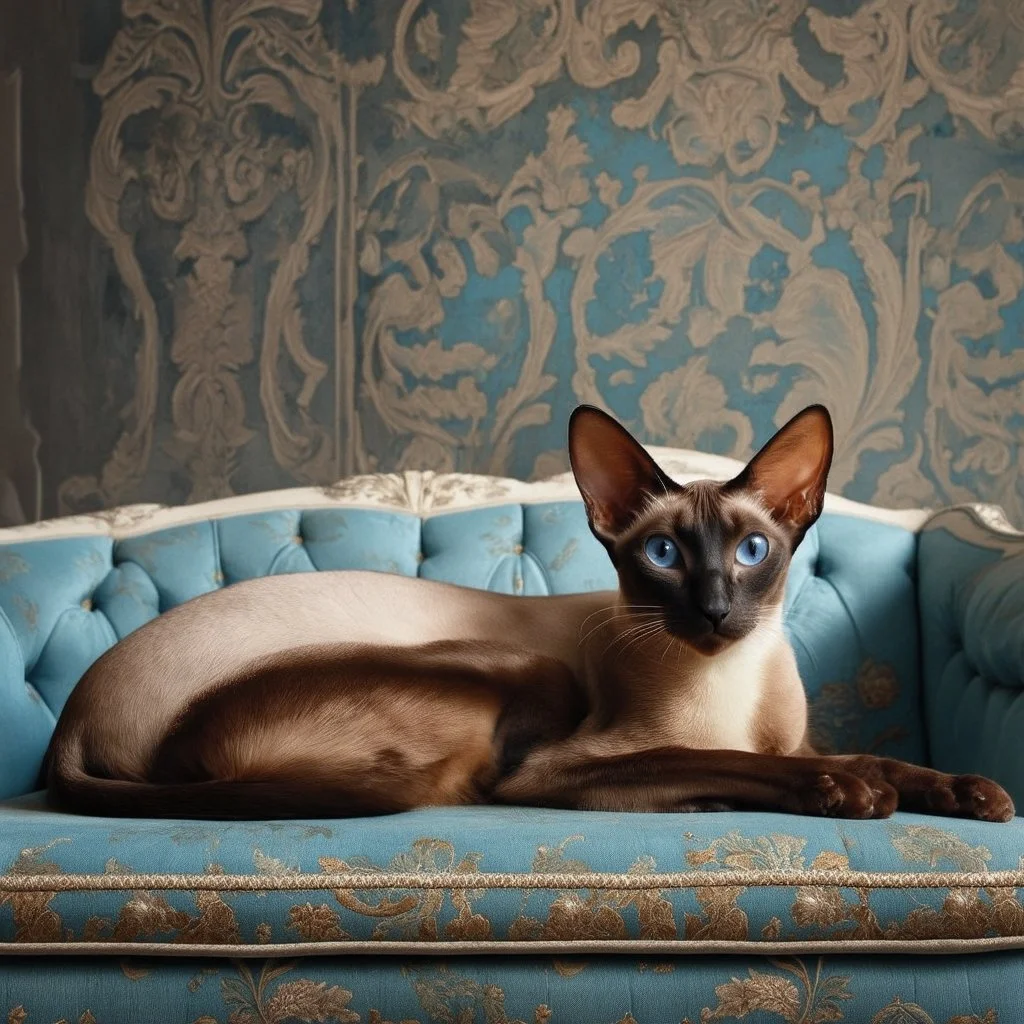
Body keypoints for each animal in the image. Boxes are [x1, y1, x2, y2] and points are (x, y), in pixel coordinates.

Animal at [46, 403, 1015, 819]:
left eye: (750, 552)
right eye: (664, 556)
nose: (711, 611)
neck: (730, 684)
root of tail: (72, 722)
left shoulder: (796, 739)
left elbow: (869, 755)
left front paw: (963, 790)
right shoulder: (565, 766)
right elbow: (728, 760)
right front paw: (849, 794)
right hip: (527, 676)